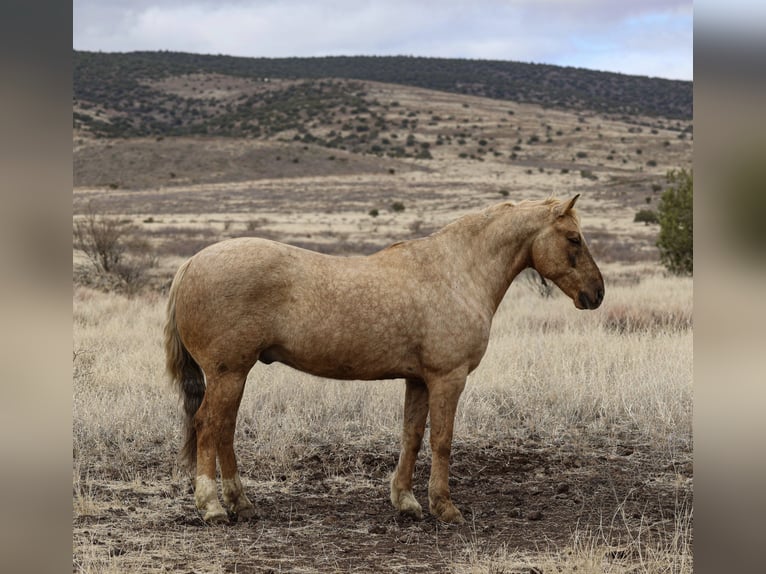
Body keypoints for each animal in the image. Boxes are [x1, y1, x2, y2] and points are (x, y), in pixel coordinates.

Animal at [166, 197, 608, 528]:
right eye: (573, 238)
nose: (597, 293)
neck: (457, 271)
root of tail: (190, 263)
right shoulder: (448, 378)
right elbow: (442, 440)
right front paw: (444, 507)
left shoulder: (419, 380)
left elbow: (411, 436)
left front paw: (406, 502)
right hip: (228, 374)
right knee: (209, 426)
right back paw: (213, 507)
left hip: (234, 376)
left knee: (224, 430)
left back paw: (242, 504)